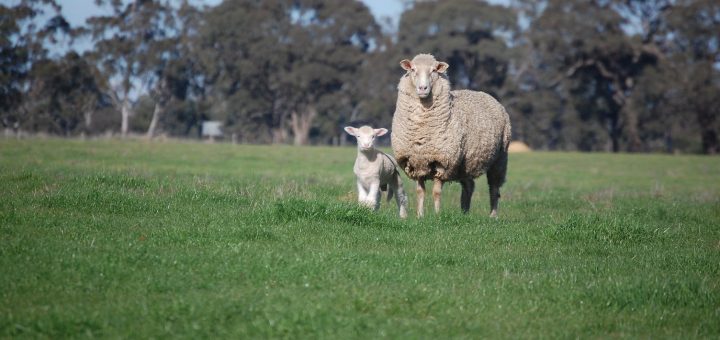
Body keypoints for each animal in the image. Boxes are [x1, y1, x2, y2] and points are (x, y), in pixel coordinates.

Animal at [388, 53, 512, 218]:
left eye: (434, 70)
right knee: (469, 186)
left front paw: (437, 215)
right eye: (413, 69)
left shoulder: (443, 161)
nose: (422, 88)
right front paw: (420, 216)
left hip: (500, 158)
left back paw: (493, 215)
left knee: (494, 188)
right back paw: (464, 213)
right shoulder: (416, 160)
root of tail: (486, 95)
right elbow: (420, 191)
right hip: (465, 164)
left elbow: (436, 192)